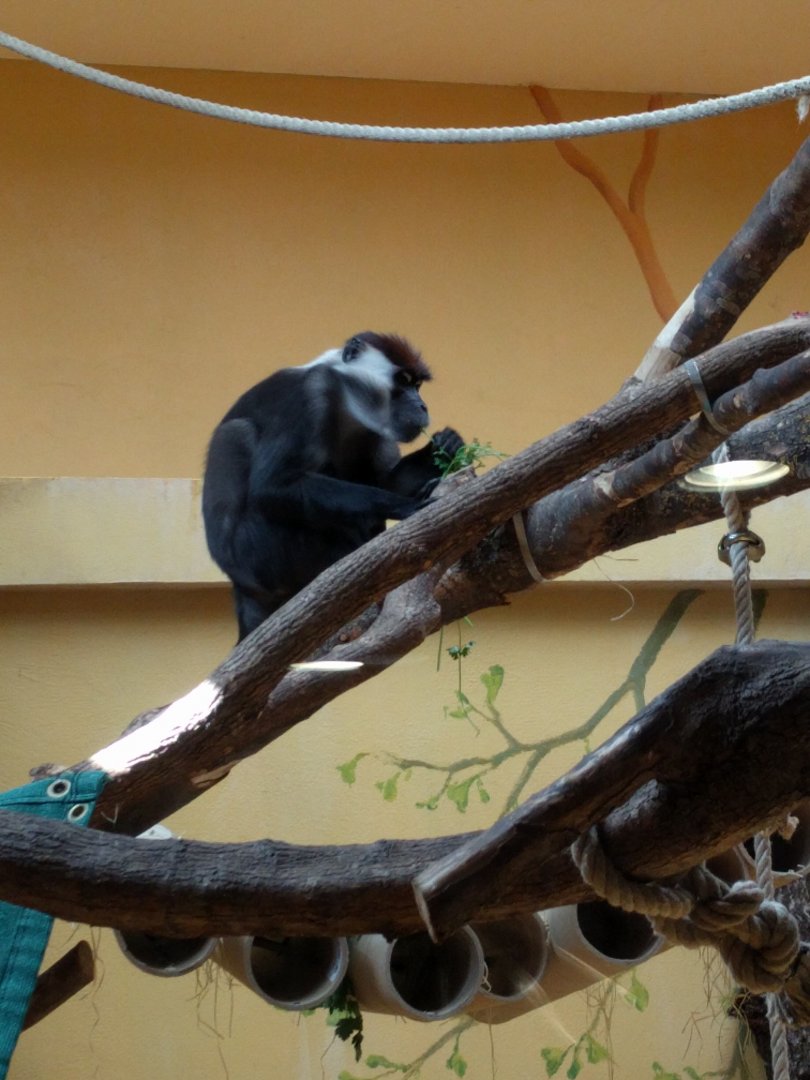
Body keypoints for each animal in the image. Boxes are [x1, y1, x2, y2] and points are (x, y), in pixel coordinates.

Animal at [202, 332, 463, 640]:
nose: (422, 406)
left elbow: (386, 482)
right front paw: (406, 506)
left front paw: (445, 446)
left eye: (417, 386)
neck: (345, 401)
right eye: (403, 381)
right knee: (238, 432)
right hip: (258, 552)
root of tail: (240, 587)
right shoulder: (309, 394)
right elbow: (272, 486)